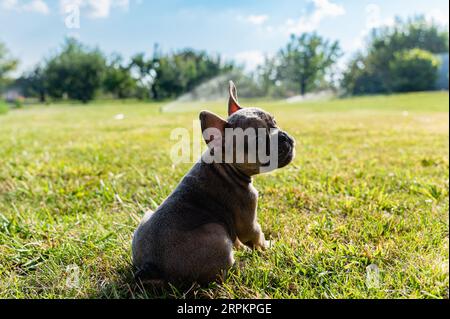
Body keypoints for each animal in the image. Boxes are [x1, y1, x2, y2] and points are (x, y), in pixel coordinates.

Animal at [132, 82, 298, 284]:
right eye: (257, 140)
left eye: (275, 122)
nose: (283, 136)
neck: (225, 168)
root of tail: (151, 264)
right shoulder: (248, 221)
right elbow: (257, 236)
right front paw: (268, 246)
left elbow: (240, 238)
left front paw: (246, 248)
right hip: (217, 232)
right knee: (223, 272)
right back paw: (243, 266)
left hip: (147, 216)